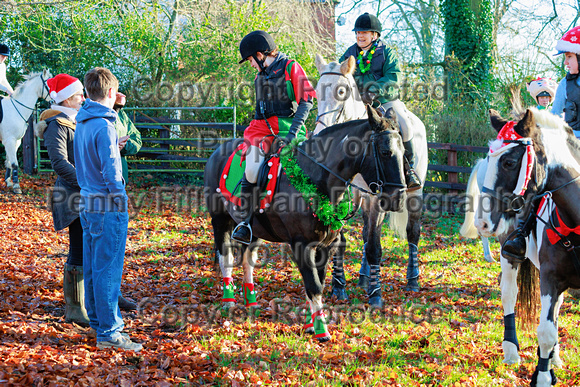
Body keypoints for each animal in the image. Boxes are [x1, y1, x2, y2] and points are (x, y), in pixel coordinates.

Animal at [206, 107, 406, 342]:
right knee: (226, 259)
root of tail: (217, 151)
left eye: (404, 152)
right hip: (220, 221)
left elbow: (319, 281)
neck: (316, 178)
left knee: (248, 261)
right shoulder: (301, 245)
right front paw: (321, 330)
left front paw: (312, 325)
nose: (398, 199)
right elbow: (314, 285)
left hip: (253, 231)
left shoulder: (326, 246)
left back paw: (251, 301)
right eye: (385, 152)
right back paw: (228, 302)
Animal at [312, 53, 430, 300]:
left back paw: (412, 280)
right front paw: (339, 284)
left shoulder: (378, 198)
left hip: (414, 193)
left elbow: (376, 245)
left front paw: (375, 293)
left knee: (412, 233)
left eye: (341, 91)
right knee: (367, 233)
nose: (319, 135)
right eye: (317, 91)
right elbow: (343, 239)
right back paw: (364, 277)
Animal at [476, 107, 580, 386]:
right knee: (509, 294)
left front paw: (549, 365)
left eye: (509, 162)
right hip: (509, 253)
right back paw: (511, 350)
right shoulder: (550, 277)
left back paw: (555, 358)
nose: (482, 222)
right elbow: (545, 332)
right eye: (488, 158)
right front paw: (543, 376)